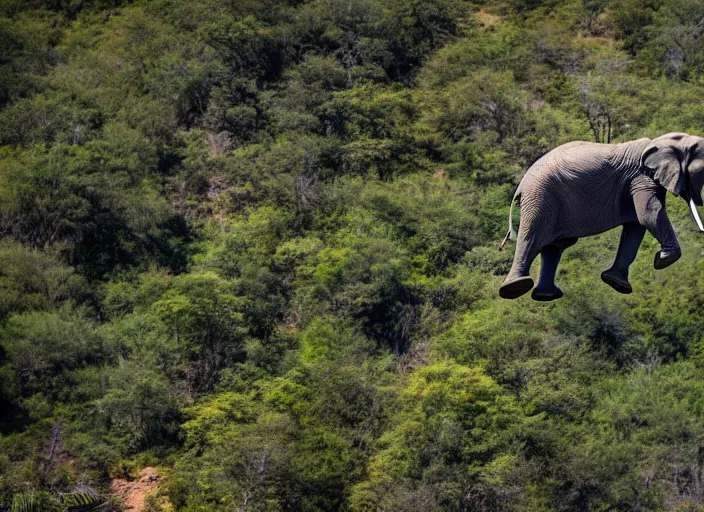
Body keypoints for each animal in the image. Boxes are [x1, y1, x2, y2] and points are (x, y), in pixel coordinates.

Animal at [498, 131, 704, 300]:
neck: (662, 141)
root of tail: (521, 186)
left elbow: (635, 227)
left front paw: (616, 283)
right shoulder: (641, 177)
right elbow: (647, 214)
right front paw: (663, 259)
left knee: (554, 246)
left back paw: (546, 296)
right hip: (540, 197)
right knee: (533, 237)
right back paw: (514, 288)